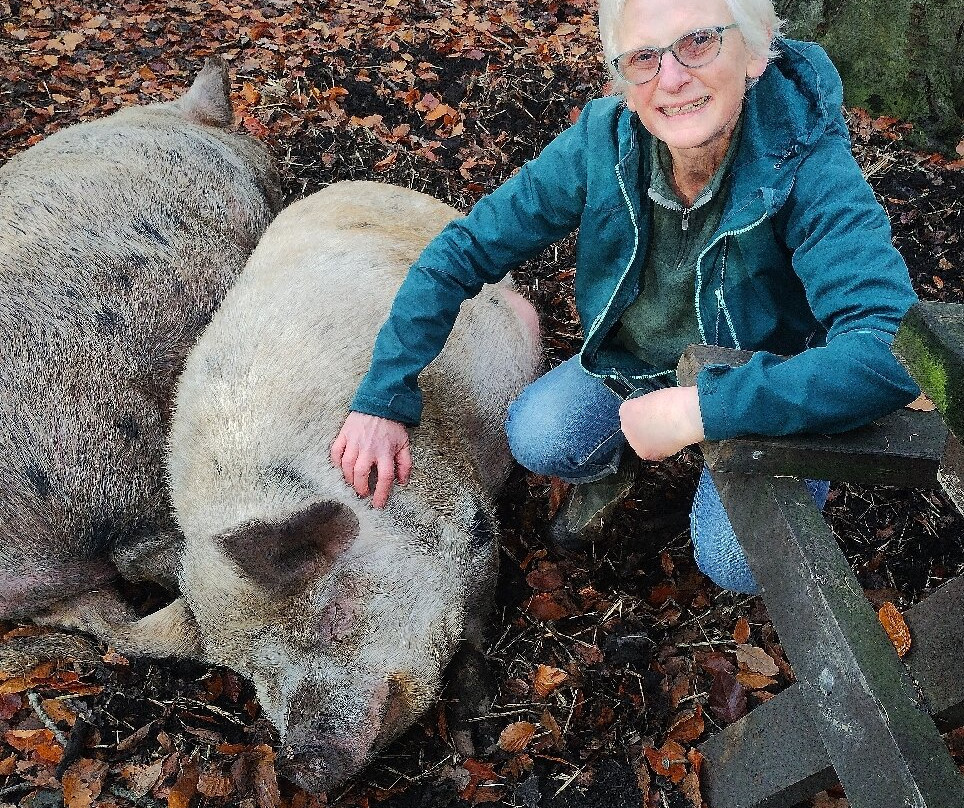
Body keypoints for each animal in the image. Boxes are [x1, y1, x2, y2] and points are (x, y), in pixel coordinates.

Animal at [160, 180, 542, 792]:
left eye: (331, 610)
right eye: (249, 672)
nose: (303, 765)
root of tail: (356, 185)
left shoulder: (470, 516)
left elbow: (476, 618)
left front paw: (472, 729)